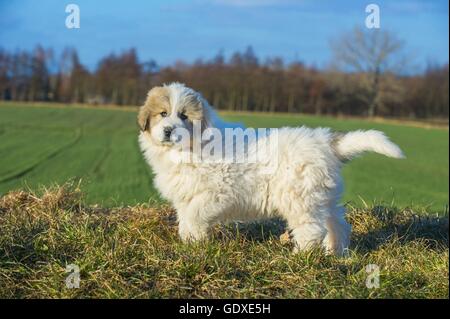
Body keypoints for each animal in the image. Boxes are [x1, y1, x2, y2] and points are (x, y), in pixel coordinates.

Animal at [137, 83, 404, 258]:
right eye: (163, 114)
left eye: (183, 116)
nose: (169, 130)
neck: (190, 147)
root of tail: (325, 142)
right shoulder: (186, 195)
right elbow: (186, 218)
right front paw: (189, 242)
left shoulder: (216, 192)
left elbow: (194, 215)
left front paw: (195, 242)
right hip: (322, 196)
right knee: (337, 224)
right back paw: (336, 253)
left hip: (299, 197)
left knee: (311, 229)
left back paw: (300, 257)